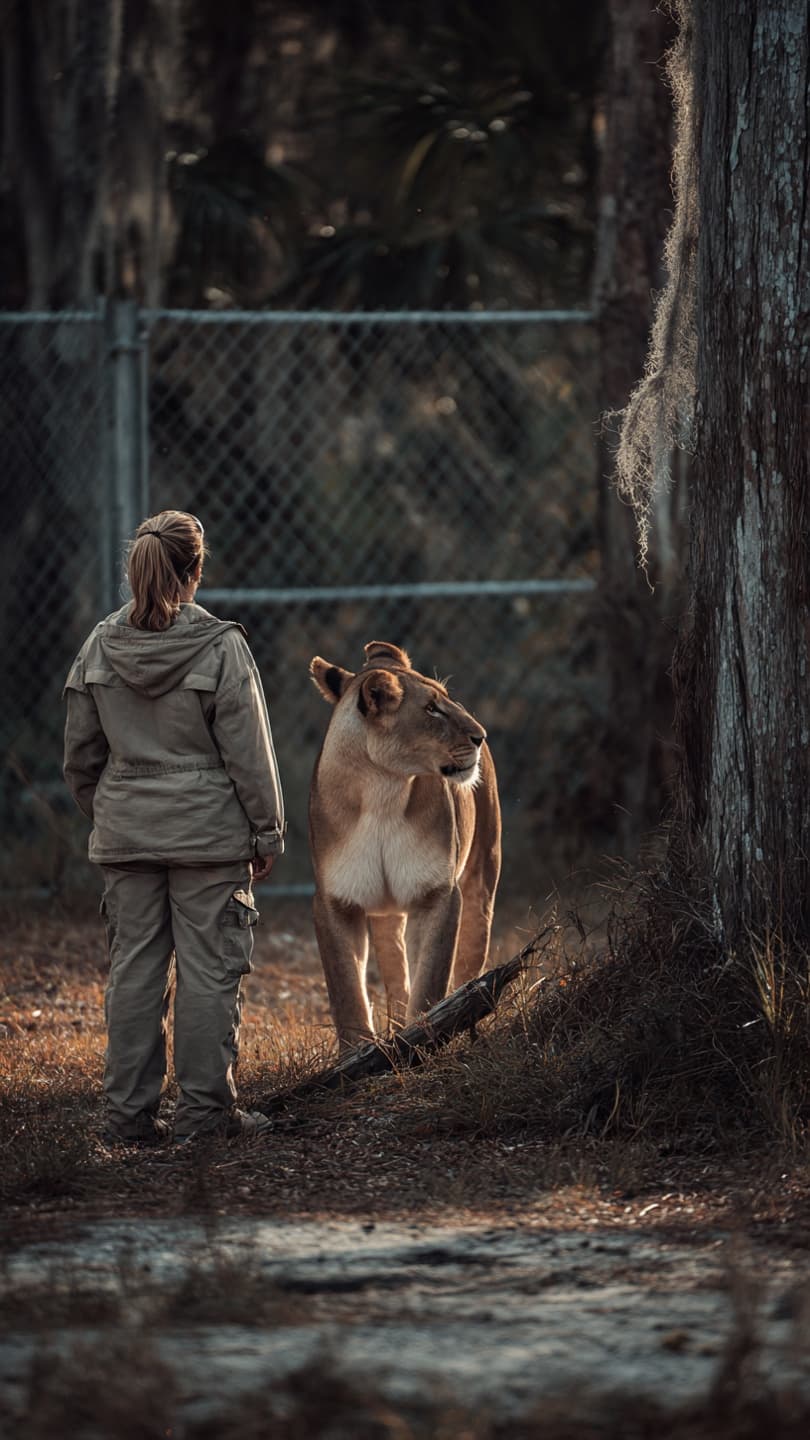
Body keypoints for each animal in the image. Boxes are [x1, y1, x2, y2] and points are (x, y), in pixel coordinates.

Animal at [308, 640, 501, 1049]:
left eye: (448, 699)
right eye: (431, 709)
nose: (481, 735)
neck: (383, 788)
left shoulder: (437, 893)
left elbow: (430, 981)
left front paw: (425, 1040)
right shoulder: (334, 902)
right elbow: (347, 991)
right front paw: (358, 1054)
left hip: (481, 880)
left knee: (469, 963)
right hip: (386, 913)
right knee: (396, 974)